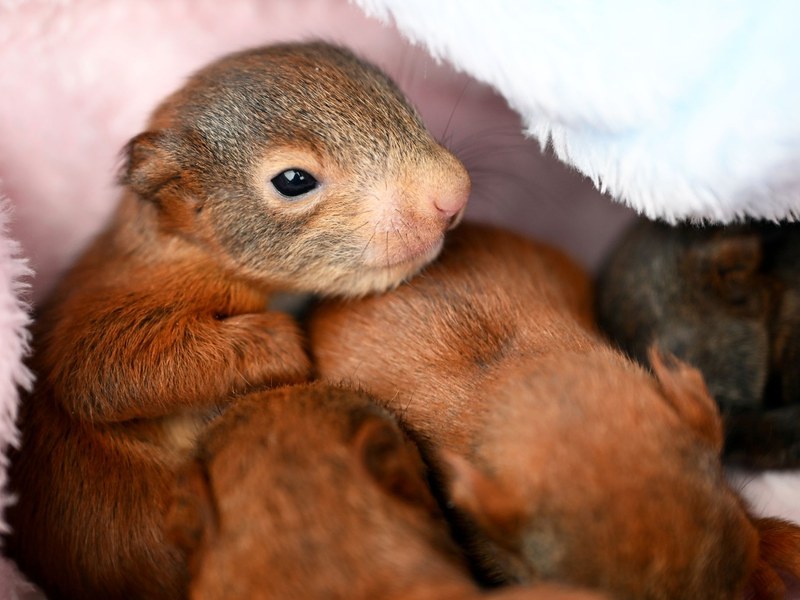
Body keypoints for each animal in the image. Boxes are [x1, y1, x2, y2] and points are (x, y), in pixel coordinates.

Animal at [5, 42, 470, 600]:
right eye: (293, 181)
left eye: (401, 101)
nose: (455, 195)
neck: (185, 247)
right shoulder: (122, 306)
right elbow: (102, 376)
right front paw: (284, 343)